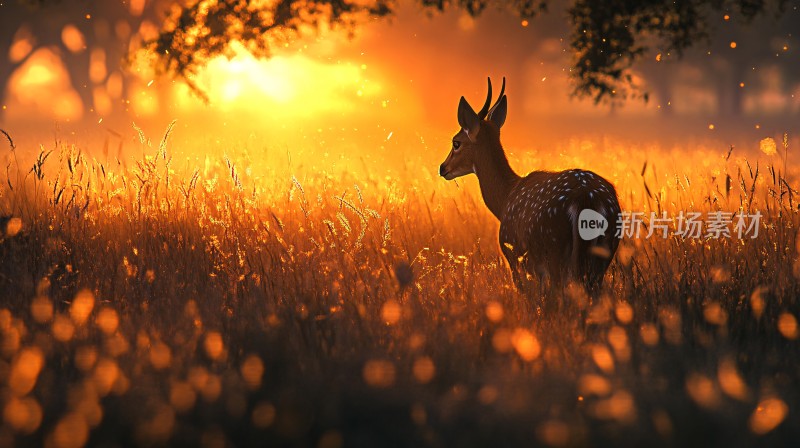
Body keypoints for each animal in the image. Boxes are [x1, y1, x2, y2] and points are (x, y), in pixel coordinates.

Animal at [438, 78, 620, 300]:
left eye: (456, 142)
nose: (442, 168)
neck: (506, 197)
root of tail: (586, 198)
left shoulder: (514, 255)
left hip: (554, 248)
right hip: (604, 253)